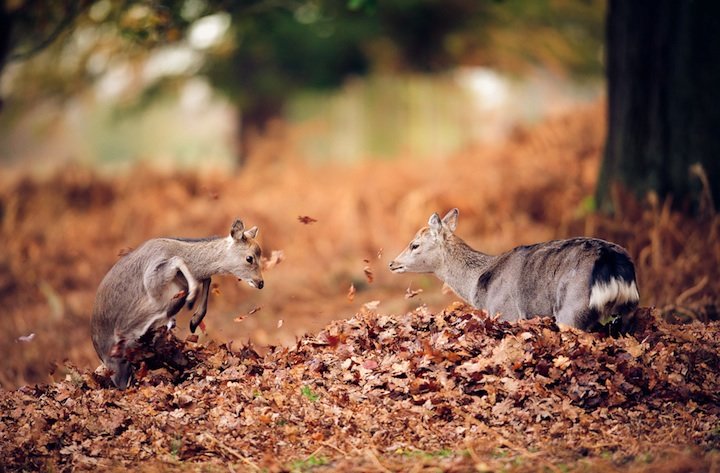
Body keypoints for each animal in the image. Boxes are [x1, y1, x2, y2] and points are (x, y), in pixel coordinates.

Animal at [91, 218, 262, 388]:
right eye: (249, 258)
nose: (261, 283)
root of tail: (99, 351)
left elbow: (207, 278)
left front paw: (194, 320)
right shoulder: (152, 280)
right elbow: (177, 261)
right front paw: (191, 299)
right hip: (116, 363)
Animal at [390, 208, 640, 334]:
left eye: (414, 245)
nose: (392, 263)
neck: (478, 283)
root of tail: (613, 264)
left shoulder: (506, 310)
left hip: (572, 306)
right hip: (629, 311)